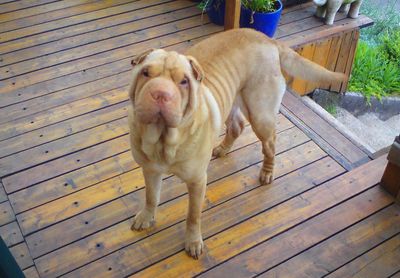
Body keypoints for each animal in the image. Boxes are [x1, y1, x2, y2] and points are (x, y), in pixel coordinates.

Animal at [127, 27, 344, 258]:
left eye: (184, 81)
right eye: (145, 73)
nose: (160, 94)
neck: (163, 141)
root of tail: (270, 40)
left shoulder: (197, 181)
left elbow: (193, 216)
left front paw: (193, 241)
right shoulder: (150, 170)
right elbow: (151, 196)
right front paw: (146, 217)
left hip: (260, 115)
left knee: (270, 144)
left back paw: (267, 173)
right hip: (233, 99)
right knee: (237, 126)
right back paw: (223, 148)